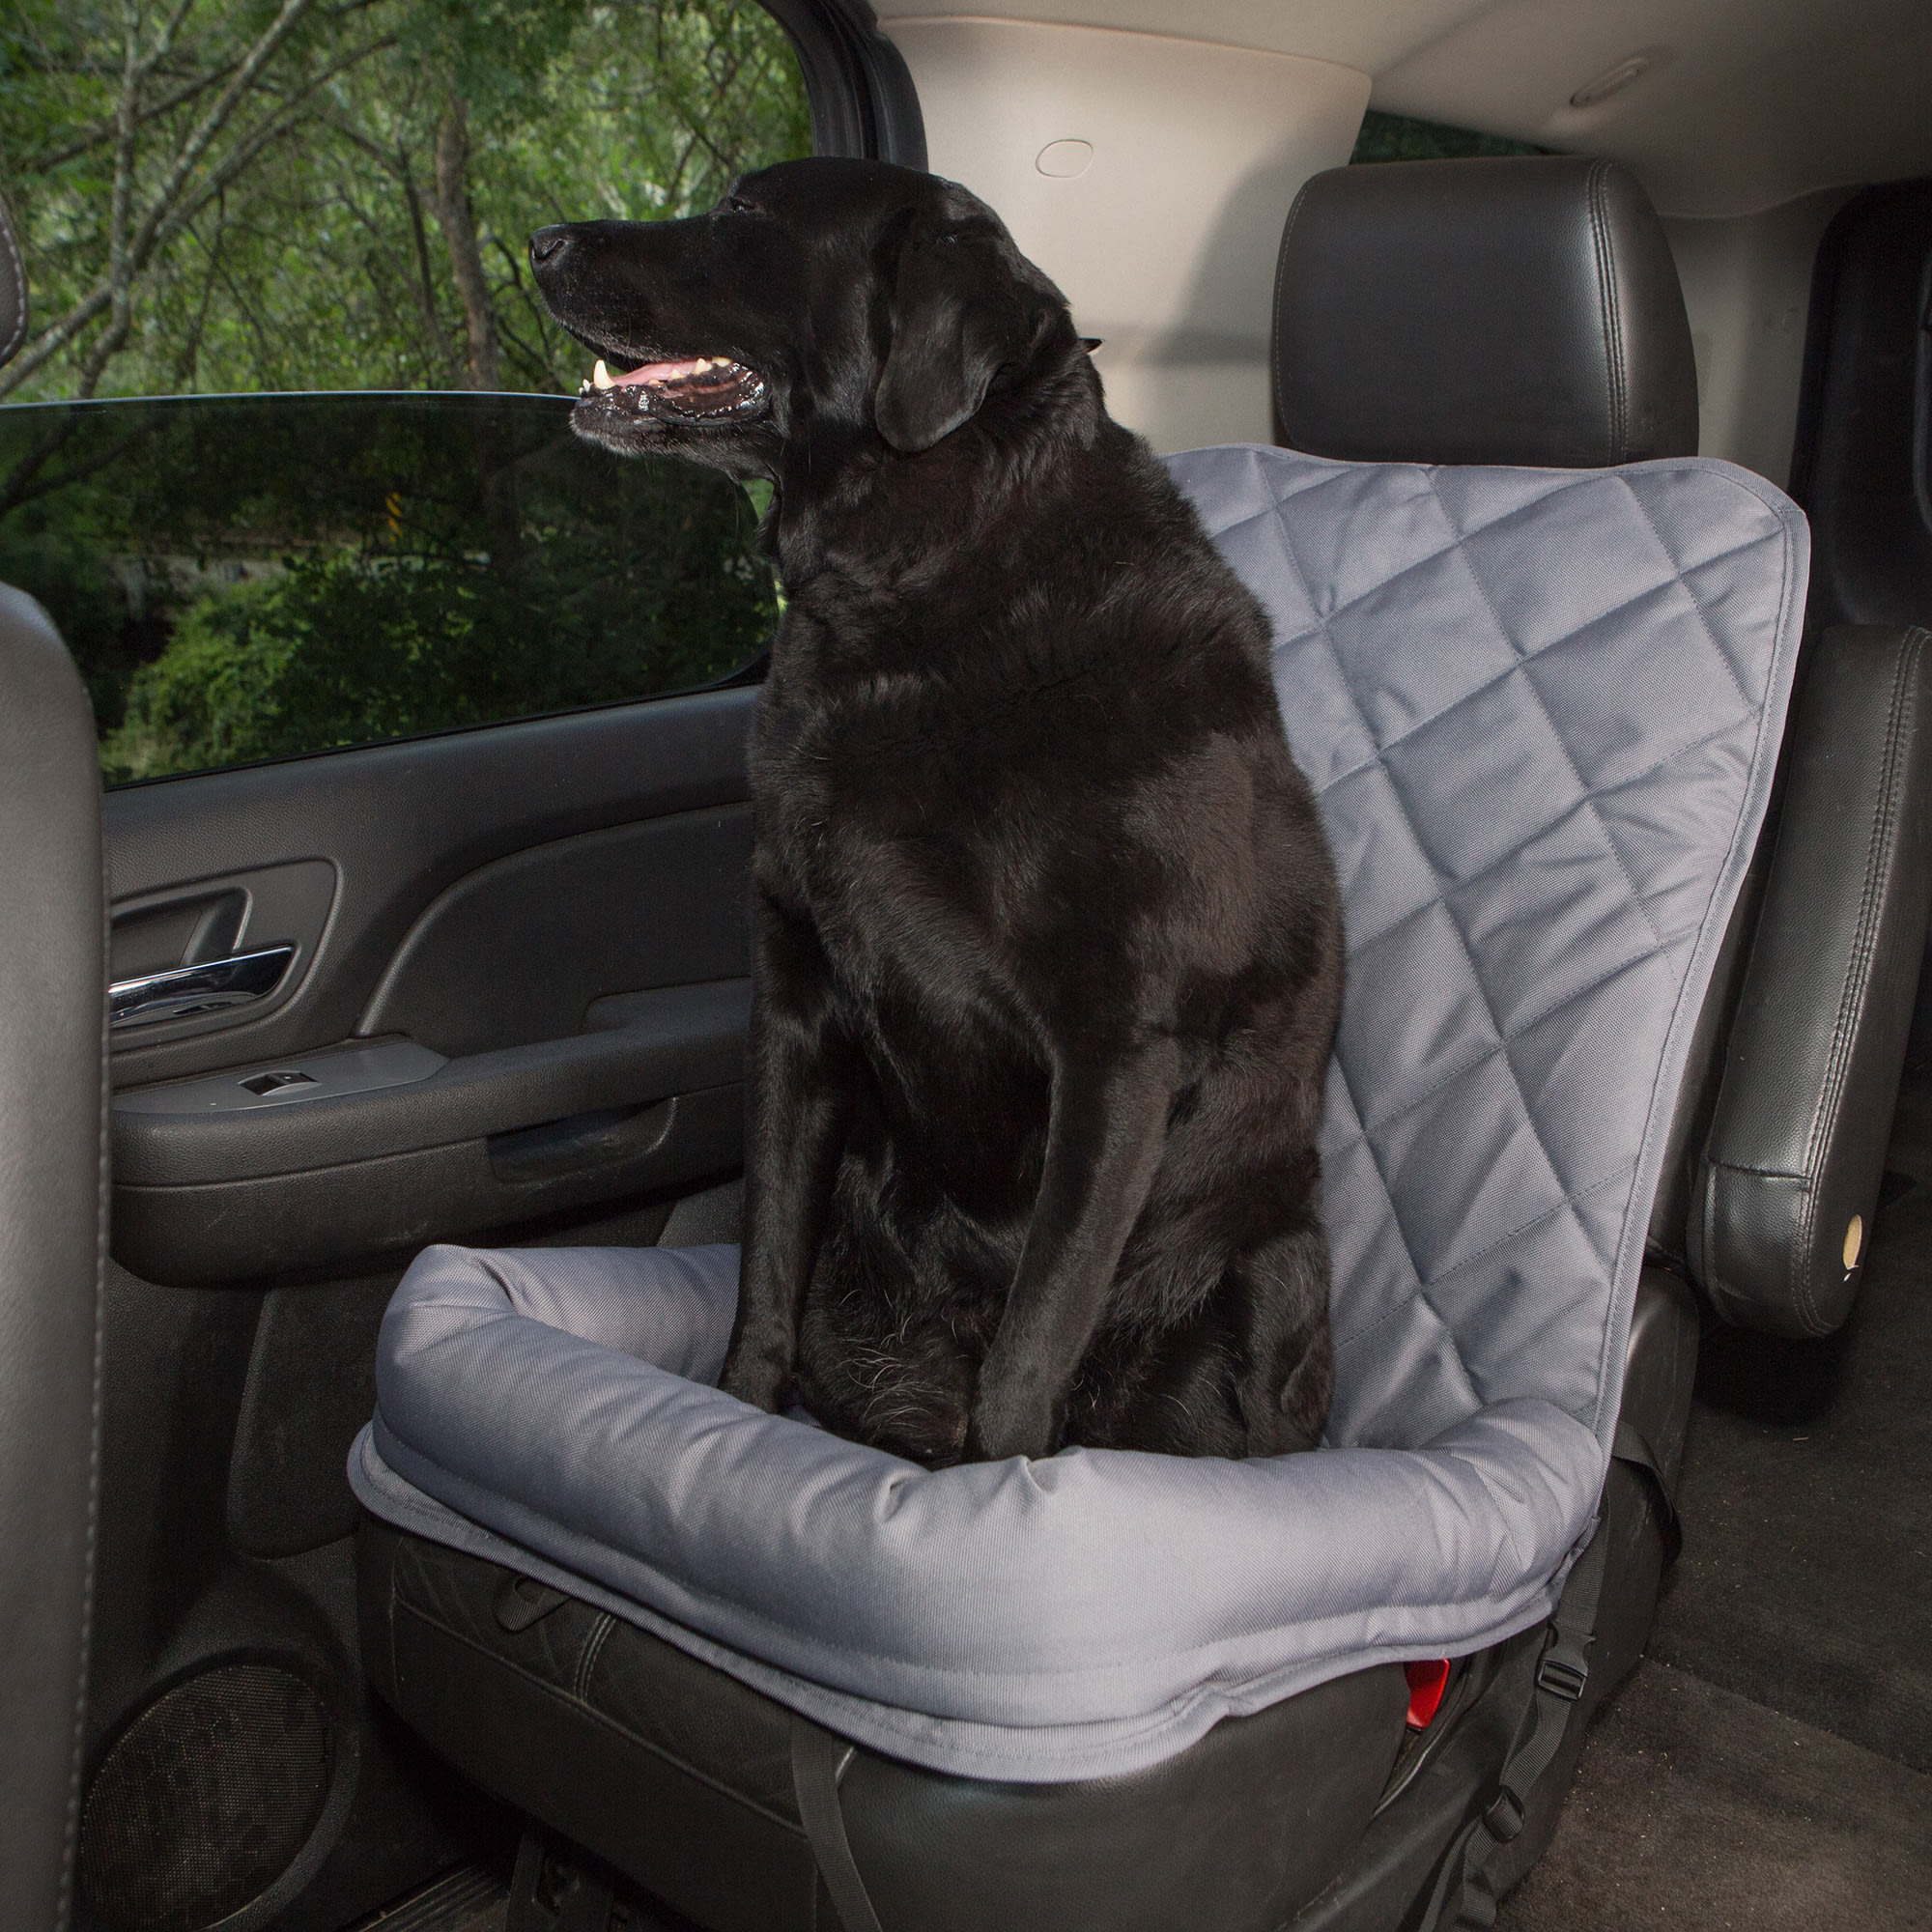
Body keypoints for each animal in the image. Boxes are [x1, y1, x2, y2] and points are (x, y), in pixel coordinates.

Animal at [529, 162, 1345, 1461]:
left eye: (746, 216)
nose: (542, 241)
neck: (912, 600)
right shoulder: (793, 1000)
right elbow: (764, 1270)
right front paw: (734, 1412)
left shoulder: (1117, 1046)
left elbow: (1033, 1342)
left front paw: (1002, 1486)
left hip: (1271, 1265)